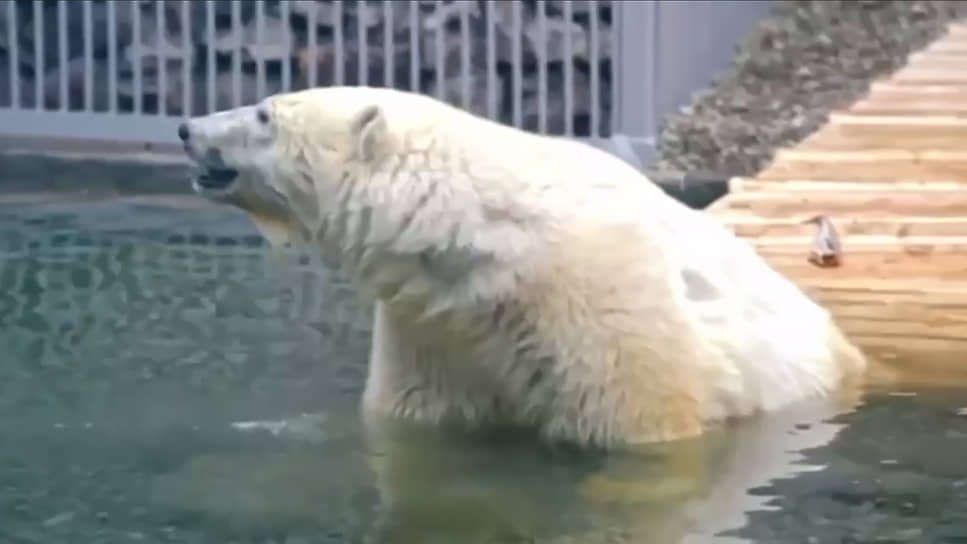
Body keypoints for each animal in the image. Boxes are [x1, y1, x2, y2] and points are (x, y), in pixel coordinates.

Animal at [176, 85, 868, 451]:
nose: (186, 127)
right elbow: (417, 414)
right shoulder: (434, 322)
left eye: (264, 114)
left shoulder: (602, 293)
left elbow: (641, 415)